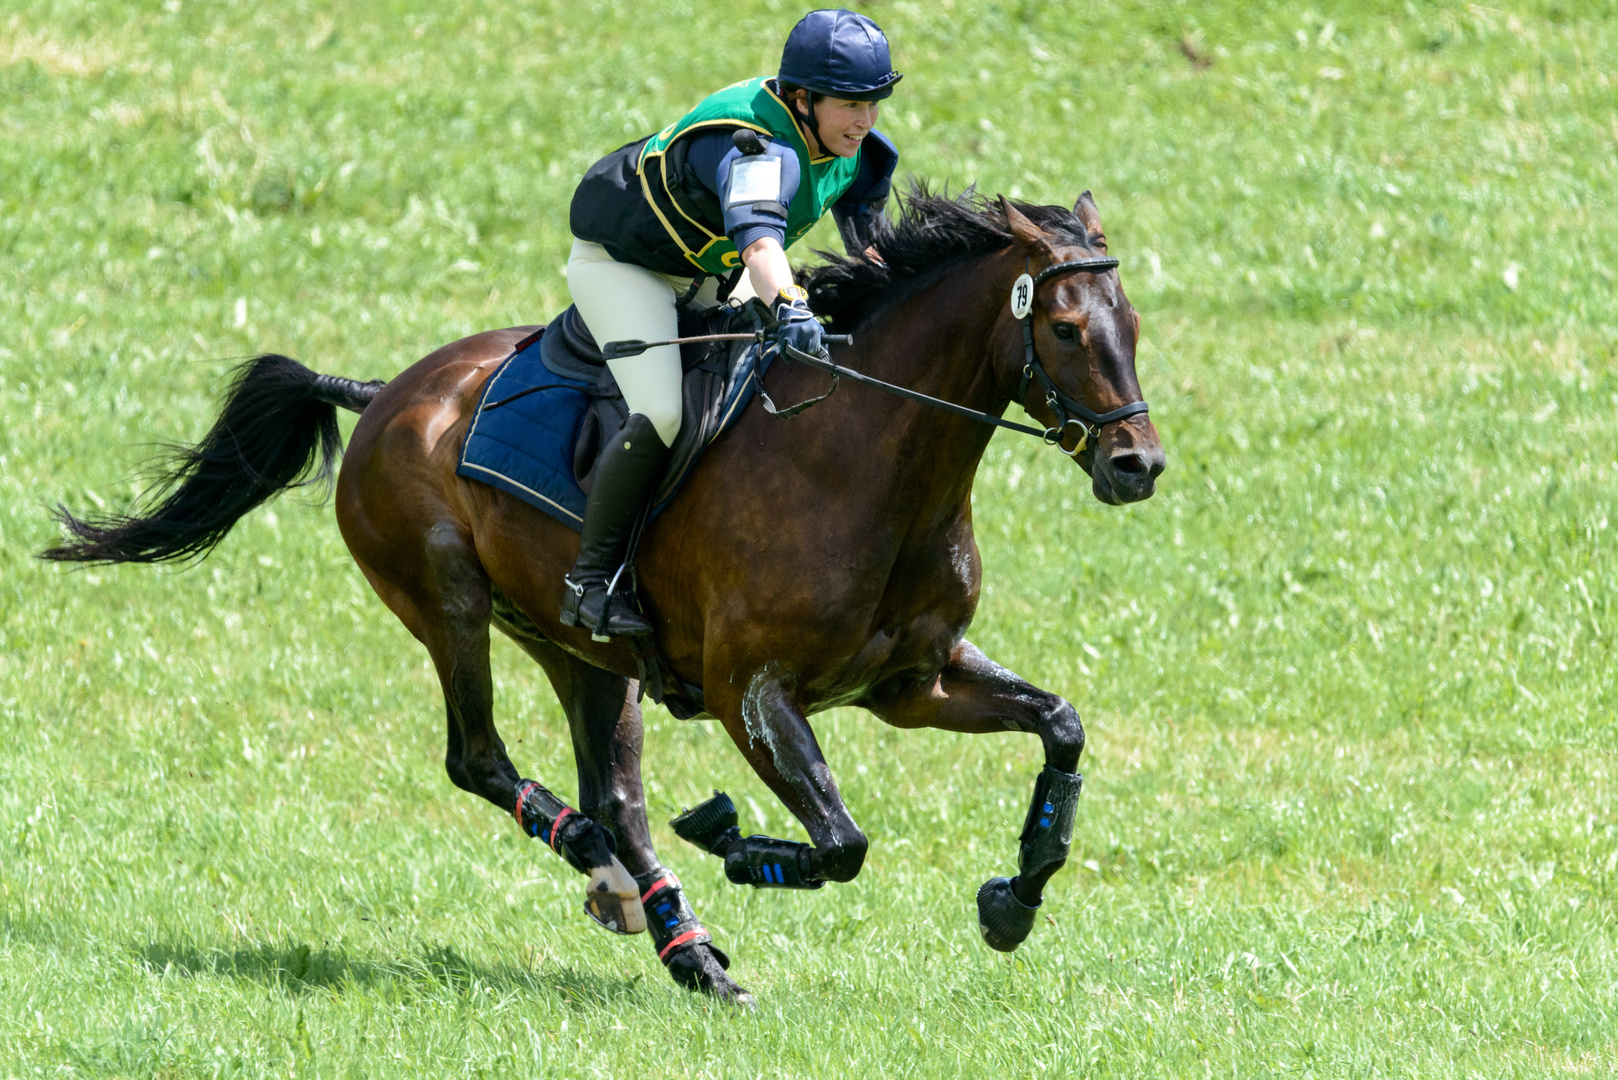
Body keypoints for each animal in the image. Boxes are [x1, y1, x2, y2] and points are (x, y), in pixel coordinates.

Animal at [44, 187, 1158, 1003]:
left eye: (1134, 325)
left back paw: (683, 945)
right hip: (448, 601)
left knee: (612, 795)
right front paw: (731, 840)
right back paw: (610, 872)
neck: (864, 457)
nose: (1137, 466)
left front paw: (1012, 899)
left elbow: (1060, 727)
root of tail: (389, 393)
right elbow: (840, 842)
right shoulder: (753, 693)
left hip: (582, 651)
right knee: (483, 759)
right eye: (1064, 329)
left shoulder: (913, 682)